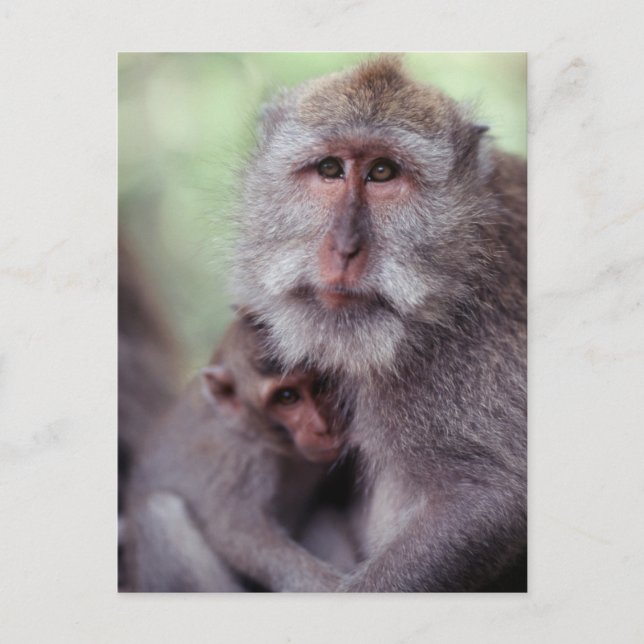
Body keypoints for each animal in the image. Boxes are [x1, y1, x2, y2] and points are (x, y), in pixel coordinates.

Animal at [126, 313, 354, 592]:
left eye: (320, 385)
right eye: (287, 396)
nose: (322, 428)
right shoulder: (238, 456)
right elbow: (238, 533)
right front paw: (332, 585)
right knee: (159, 510)